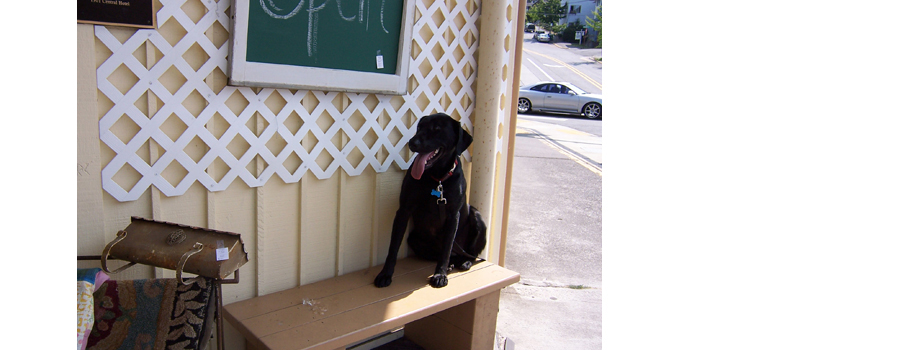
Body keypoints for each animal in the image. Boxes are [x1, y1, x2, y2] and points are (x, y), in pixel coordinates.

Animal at [374, 113, 488, 288]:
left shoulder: (453, 216)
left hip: (478, 218)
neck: (437, 178)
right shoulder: (404, 210)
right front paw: (385, 274)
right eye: (420, 127)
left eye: (437, 129)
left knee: (471, 253)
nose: (412, 143)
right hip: (413, 238)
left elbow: (446, 248)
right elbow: (393, 247)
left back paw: (464, 262)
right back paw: (452, 264)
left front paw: (440, 274)